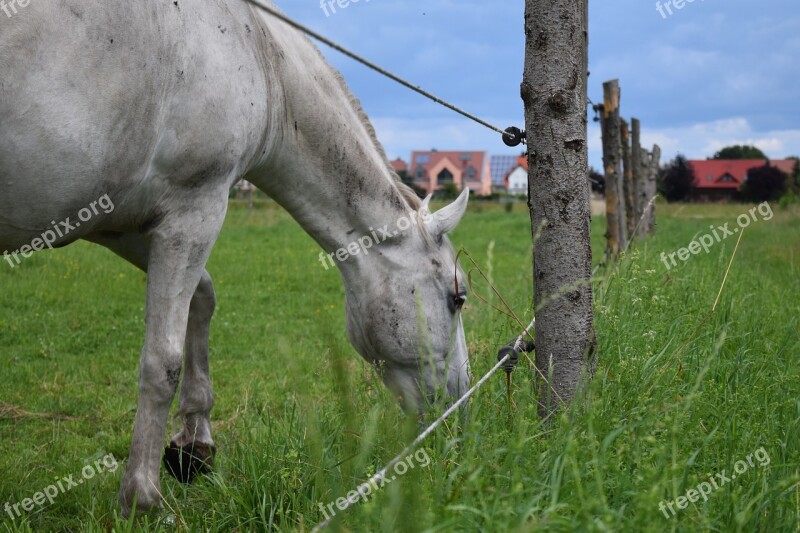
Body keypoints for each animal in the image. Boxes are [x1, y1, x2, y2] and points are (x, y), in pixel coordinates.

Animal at [0, 0, 468, 516]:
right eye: (458, 298)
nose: (459, 406)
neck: (261, 59)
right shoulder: (195, 210)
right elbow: (162, 360)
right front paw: (142, 497)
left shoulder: (117, 224)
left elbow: (202, 299)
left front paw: (194, 445)